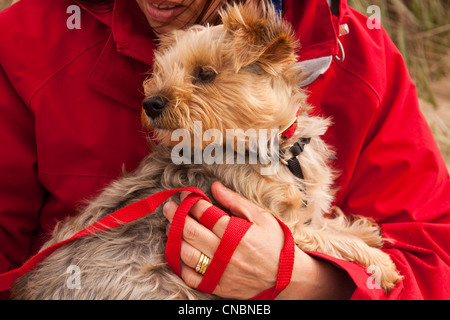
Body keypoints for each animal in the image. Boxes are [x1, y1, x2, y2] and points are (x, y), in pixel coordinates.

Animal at [10, 1, 402, 298]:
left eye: (205, 74)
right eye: (160, 73)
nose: (151, 103)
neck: (274, 149)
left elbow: (325, 224)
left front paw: (363, 230)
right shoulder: (277, 226)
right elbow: (324, 238)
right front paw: (380, 264)